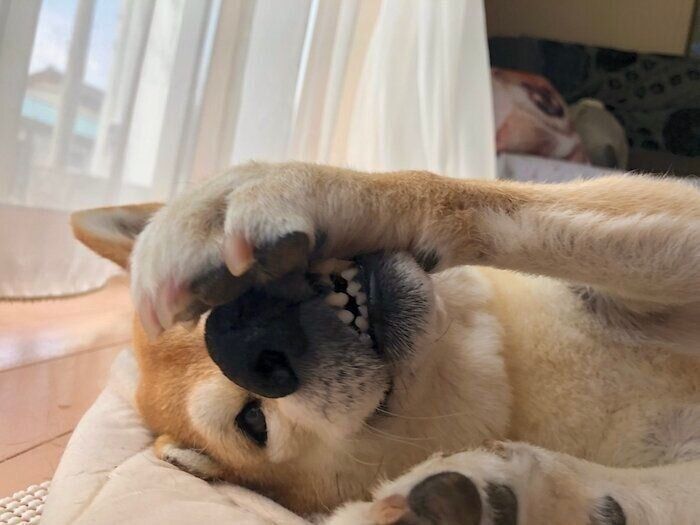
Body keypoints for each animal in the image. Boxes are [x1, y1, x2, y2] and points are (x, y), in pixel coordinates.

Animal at [72, 162, 700, 524]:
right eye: (252, 422)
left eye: (202, 313)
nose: (240, 336)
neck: (517, 374)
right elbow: (636, 497)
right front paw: (523, 496)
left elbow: (447, 193)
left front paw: (299, 188)